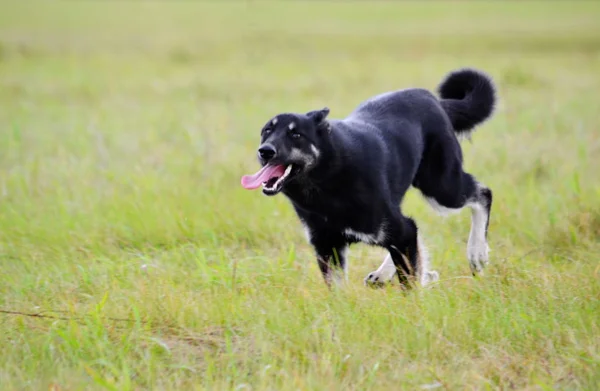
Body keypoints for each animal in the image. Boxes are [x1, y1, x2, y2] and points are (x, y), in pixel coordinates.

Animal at [240, 68, 496, 288]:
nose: (265, 151)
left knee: (483, 194)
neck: (327, 180)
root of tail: (433, 99)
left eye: (296, 134)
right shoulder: (327, 245)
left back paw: (477, 252)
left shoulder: (395, 229)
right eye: (267, 131)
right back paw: (384, 274)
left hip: (441, 188)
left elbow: (410, 282)